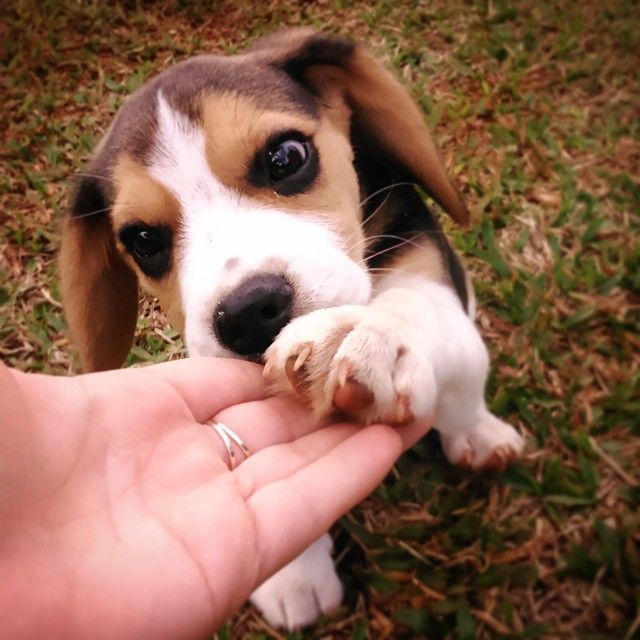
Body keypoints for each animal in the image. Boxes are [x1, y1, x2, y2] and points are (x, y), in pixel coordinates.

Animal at [57, 28, 524, 632]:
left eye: (286, 157)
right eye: (143, 240)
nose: (248, 312)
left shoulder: (425, 267)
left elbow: (410, 309)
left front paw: (361, 336)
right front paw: (293, 575)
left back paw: (480, 435)